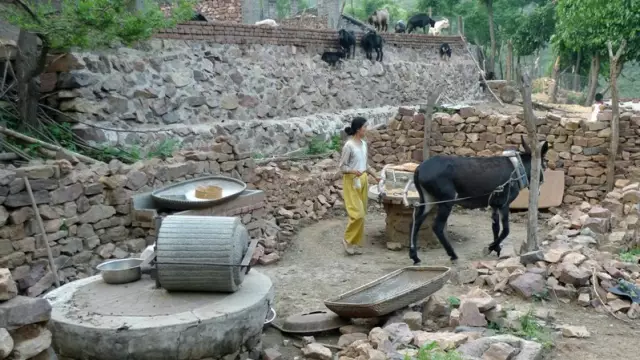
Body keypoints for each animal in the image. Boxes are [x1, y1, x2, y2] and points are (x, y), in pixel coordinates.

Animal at [404, 135, 552, 264]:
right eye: (544, 165)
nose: (541, 184)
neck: (517, 169)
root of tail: (419, 169)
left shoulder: (494, 204)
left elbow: (495, 227)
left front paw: (497, 249)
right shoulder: (504, 203)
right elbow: (506, 230)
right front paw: (491, 247)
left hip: (428, 199)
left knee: (415, 222)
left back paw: (414, 257)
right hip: (447, 200)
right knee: (437, 226)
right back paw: (453, 255)